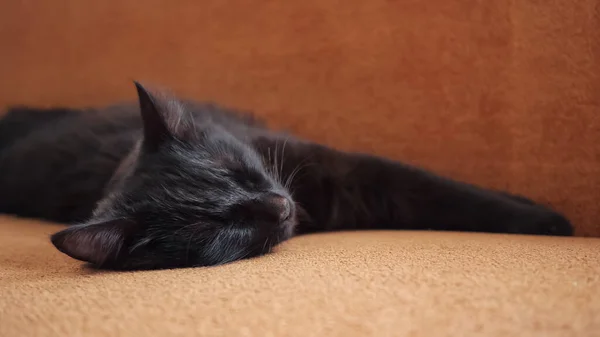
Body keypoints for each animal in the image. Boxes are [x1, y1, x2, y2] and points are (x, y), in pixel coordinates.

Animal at [0, 82, 576, 270]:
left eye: (242, 172)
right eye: (222, 229)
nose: (279, 206)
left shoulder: (340, 167)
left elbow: (441, 188)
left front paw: (549, 221)